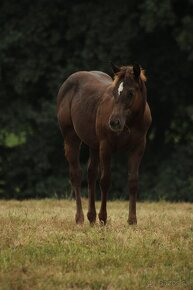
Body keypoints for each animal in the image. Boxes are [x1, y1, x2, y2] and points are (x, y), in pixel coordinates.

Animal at [56, 63, 152, 225]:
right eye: (114, 92)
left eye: (130, 93)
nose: (114, 122)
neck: (130, 123)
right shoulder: (106, 147)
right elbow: (105, 180)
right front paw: (103, 217)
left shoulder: (138, 148)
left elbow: (133, 181)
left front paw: (132, 220)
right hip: (71, 137)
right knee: (76, 174)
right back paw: (80, 218)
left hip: (94, 145)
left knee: (91, 173)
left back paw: (91, 217)